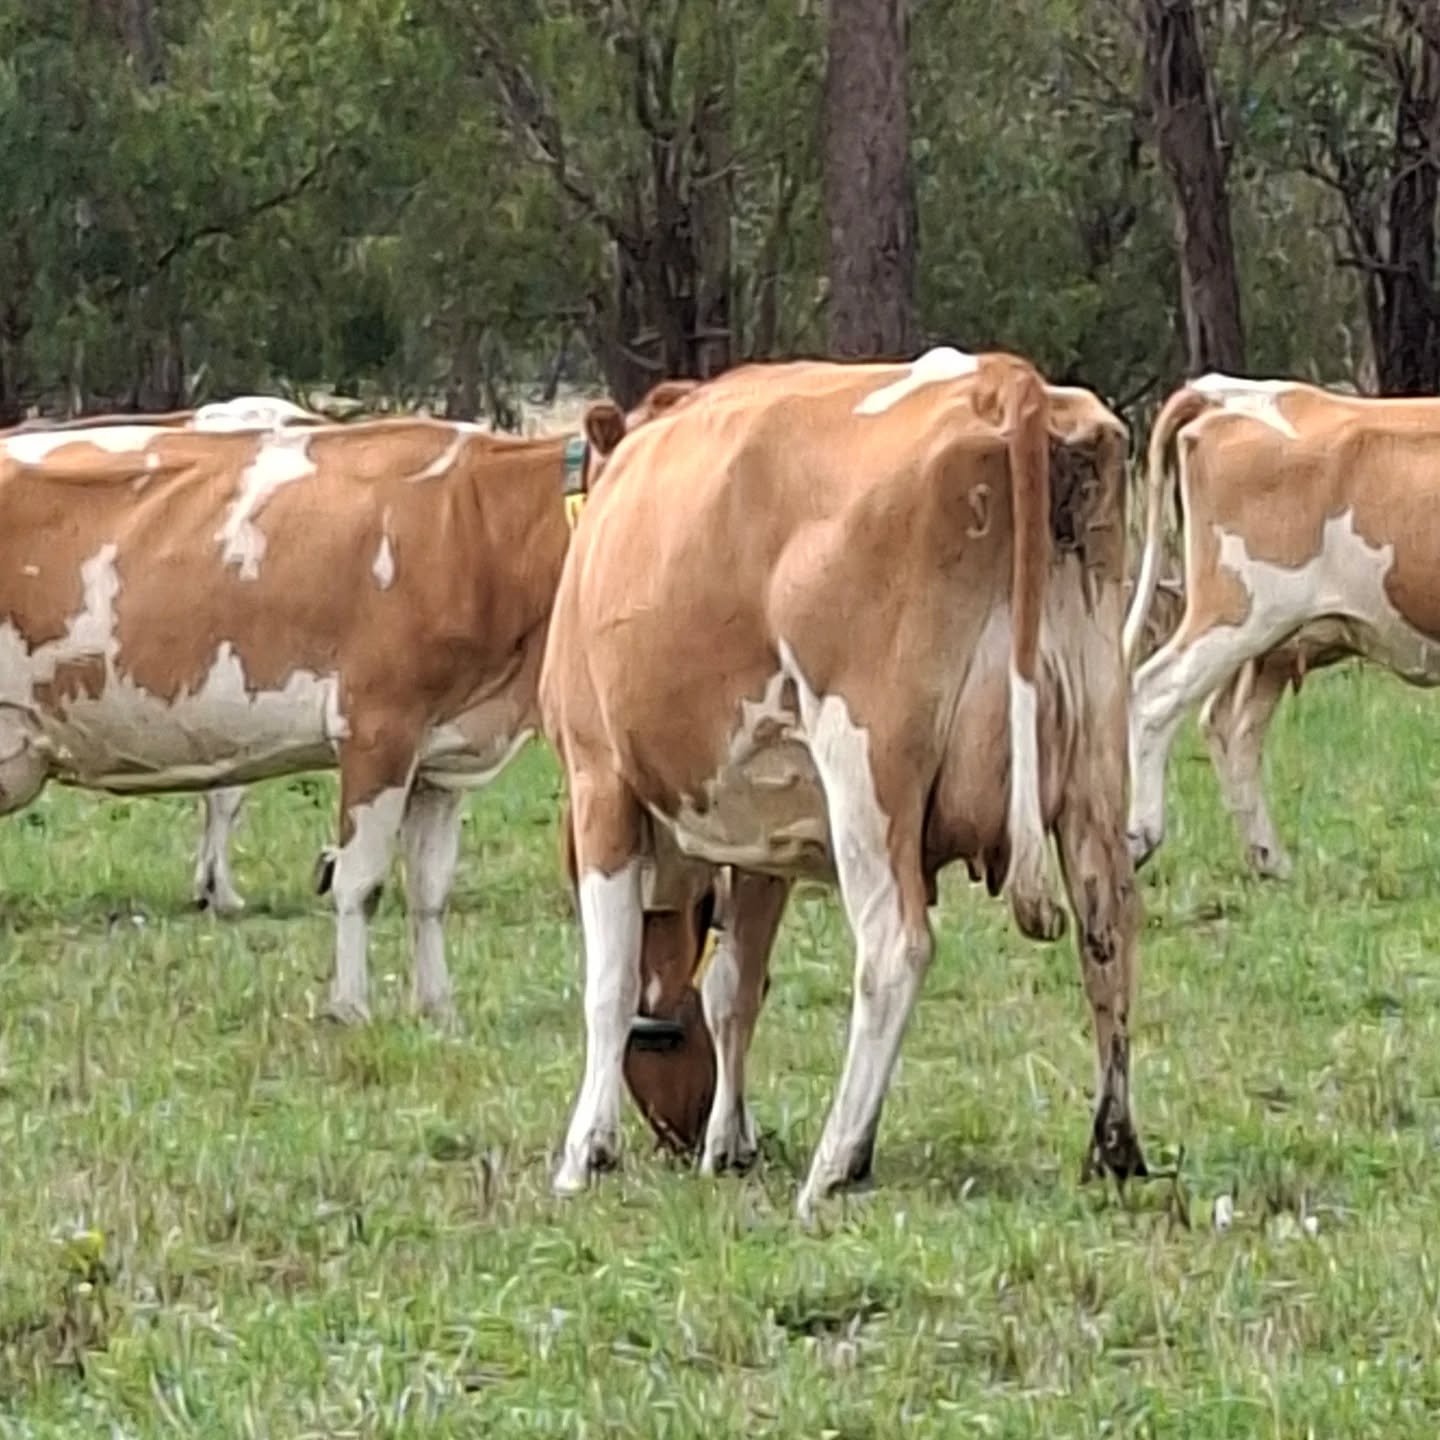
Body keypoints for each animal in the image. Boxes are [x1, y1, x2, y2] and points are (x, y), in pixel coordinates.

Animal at [541, 348, 1148, 1217]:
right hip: (1097, 757)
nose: (680, 1133)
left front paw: (586, 1152)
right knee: (1109, 931)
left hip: (867, 769)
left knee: (895, 946)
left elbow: (610, 983)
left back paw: (832, 1163)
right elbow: (735, 986)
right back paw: (1114, 1146)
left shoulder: (598, 781)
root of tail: (1003, 380)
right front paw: (729, 1143)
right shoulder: (764, 840)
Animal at [1123, 374, 1440, 874]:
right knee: (1156, 692)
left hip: (1271, 644)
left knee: (1231, 726)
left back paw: (1270, 860)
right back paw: (1141, 837)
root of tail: (1224, 392)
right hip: (1237, 613)